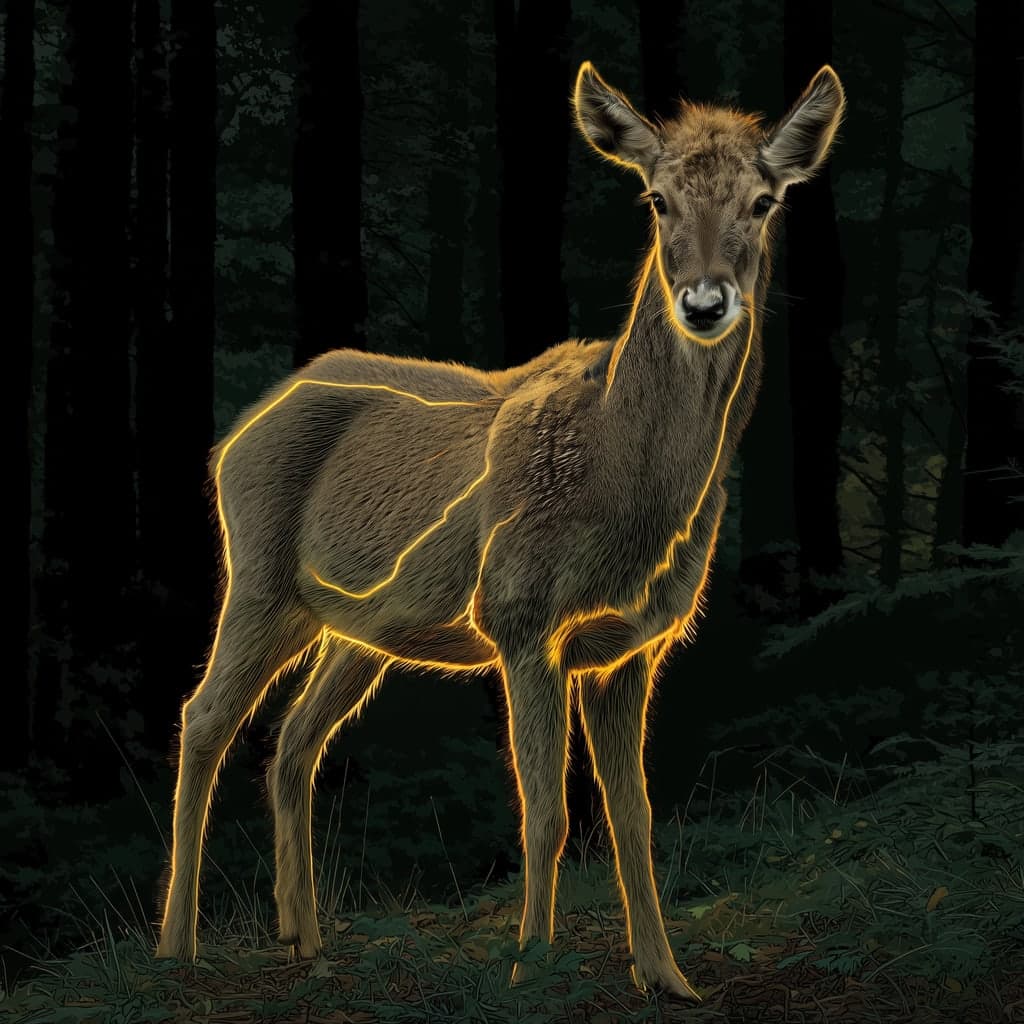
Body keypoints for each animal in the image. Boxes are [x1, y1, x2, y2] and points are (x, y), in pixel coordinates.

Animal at [155, 59, 845, 1000]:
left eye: (764, 200)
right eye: (657, 198)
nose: (705, 302)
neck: (621, 486)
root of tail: (236, 435)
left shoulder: (632, 645)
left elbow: (635, 815)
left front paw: (667, 977)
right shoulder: (521, 615)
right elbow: (546, 814)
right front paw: (531, 967)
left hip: (360, 625)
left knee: (295, 740)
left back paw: (305, 938)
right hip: (258, 578)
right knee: (203, 718)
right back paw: (176, 945)